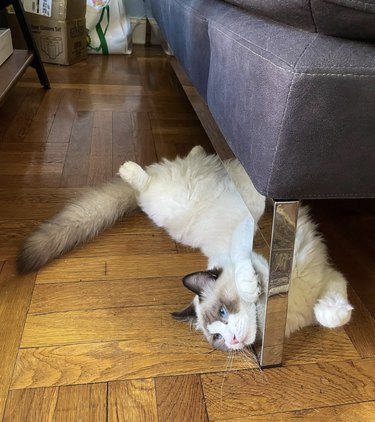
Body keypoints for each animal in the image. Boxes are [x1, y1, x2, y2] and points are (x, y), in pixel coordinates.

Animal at [16, 147, 352, 352]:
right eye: (216, 336)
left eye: (223, 312)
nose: (232, 340)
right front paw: (255, 287)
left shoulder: (324, 274)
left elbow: (333, 312)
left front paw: (328, 308)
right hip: (167, 205)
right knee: (145, 186)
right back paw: (130, 170)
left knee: (156, 177)